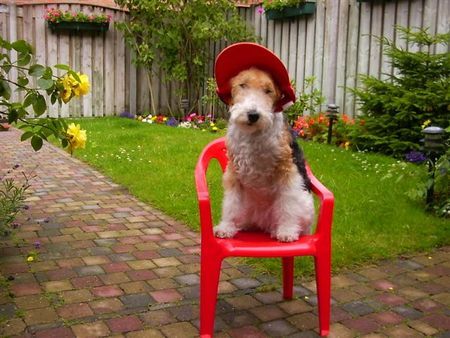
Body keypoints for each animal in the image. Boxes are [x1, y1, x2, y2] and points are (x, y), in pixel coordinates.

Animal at [214, 67, 312, 242]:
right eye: (243, 85)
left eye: (268, 90)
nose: (253, 115)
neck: (253, 135)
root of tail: (263, 223)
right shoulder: (233, 172)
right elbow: (231, 204)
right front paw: (226, 228)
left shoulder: (287, 171)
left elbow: (288, 203)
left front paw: (287, 231)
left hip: (306, 205)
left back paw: (281, 230)